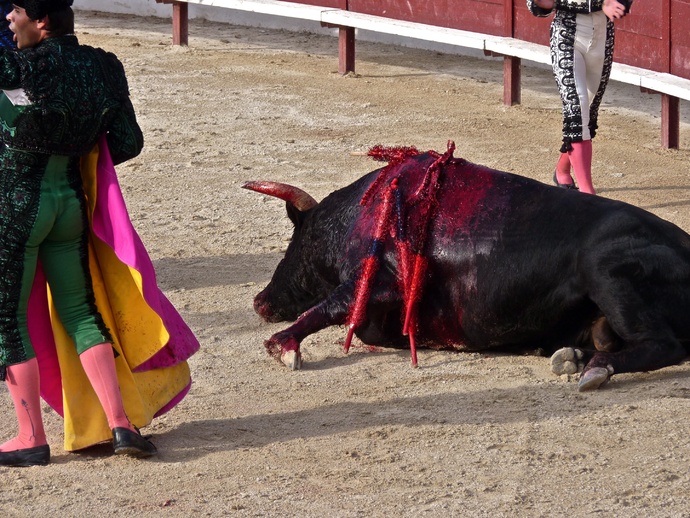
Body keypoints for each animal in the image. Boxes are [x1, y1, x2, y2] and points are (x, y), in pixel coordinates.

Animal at [243, 142, 690, 391]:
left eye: (296, 242)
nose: (260, 301)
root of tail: (685, 245)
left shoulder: (378, 285)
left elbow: (332, 307)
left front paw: (282, 344)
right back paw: (572, 358)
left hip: (606, 271)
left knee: (666, 345)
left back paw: (594, 370)